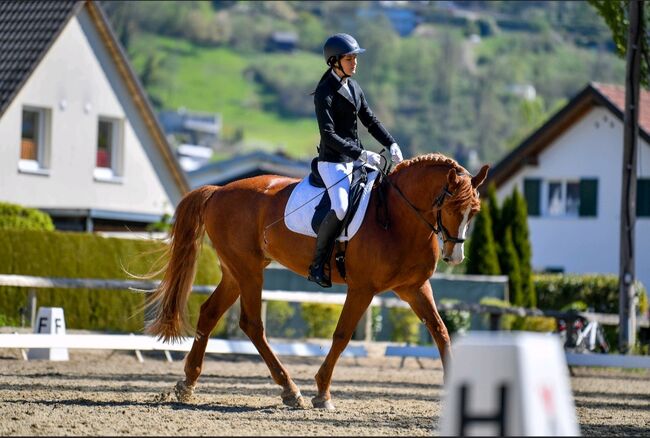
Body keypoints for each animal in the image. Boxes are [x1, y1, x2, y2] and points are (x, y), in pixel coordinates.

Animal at [143, 153, 486, 410]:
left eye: (474, 212)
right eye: (451, 207)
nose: (455, 256)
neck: (399, 219)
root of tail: (218, 190)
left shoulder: (414, 288)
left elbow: (441, 332)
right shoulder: (363, 288)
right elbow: (342, 336)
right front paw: (322, 394)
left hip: (235, 271)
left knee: (210, 313)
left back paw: (188, 384)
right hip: (248, 270)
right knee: (252, 324)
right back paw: (290, 390)